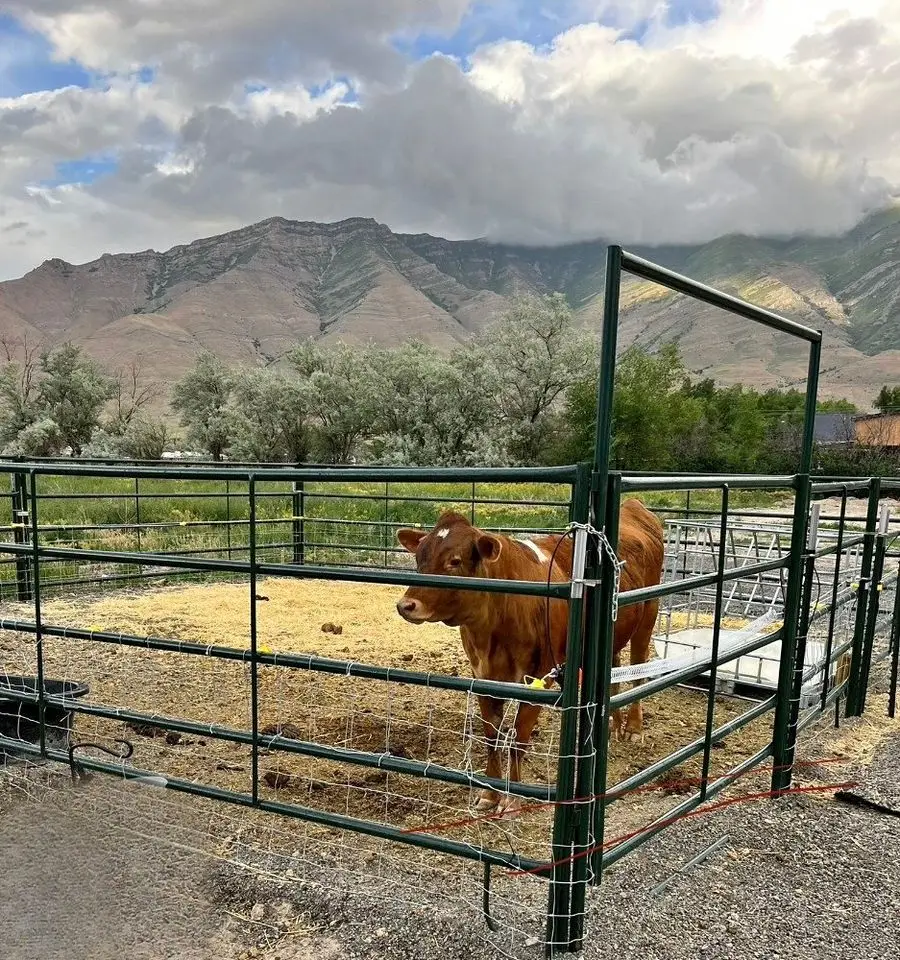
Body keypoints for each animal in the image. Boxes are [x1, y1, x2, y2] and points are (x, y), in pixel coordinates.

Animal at [395, 500, 664, 816]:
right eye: (419, 559)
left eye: (455, 561)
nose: (406, 605)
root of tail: (634, 506)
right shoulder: (482, 676)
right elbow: (492, 737)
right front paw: (489, 794)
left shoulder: (539, 677)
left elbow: (518, 739)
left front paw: (512, 799)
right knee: (614, 672)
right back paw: (613, 723)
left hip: (649, 614)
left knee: (638, 671)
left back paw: (633, 728)